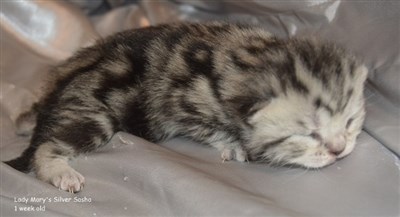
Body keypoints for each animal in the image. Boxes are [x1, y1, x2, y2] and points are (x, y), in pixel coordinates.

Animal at [3, 22, 366, 192]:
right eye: (308, 133)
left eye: (350, 122)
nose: (339, 150)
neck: (253, 57)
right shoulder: (181, 103)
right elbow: (211, 128)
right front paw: (233, 144)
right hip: (94, 114)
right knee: (46, 147)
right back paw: (61, 172)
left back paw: (24, 120)